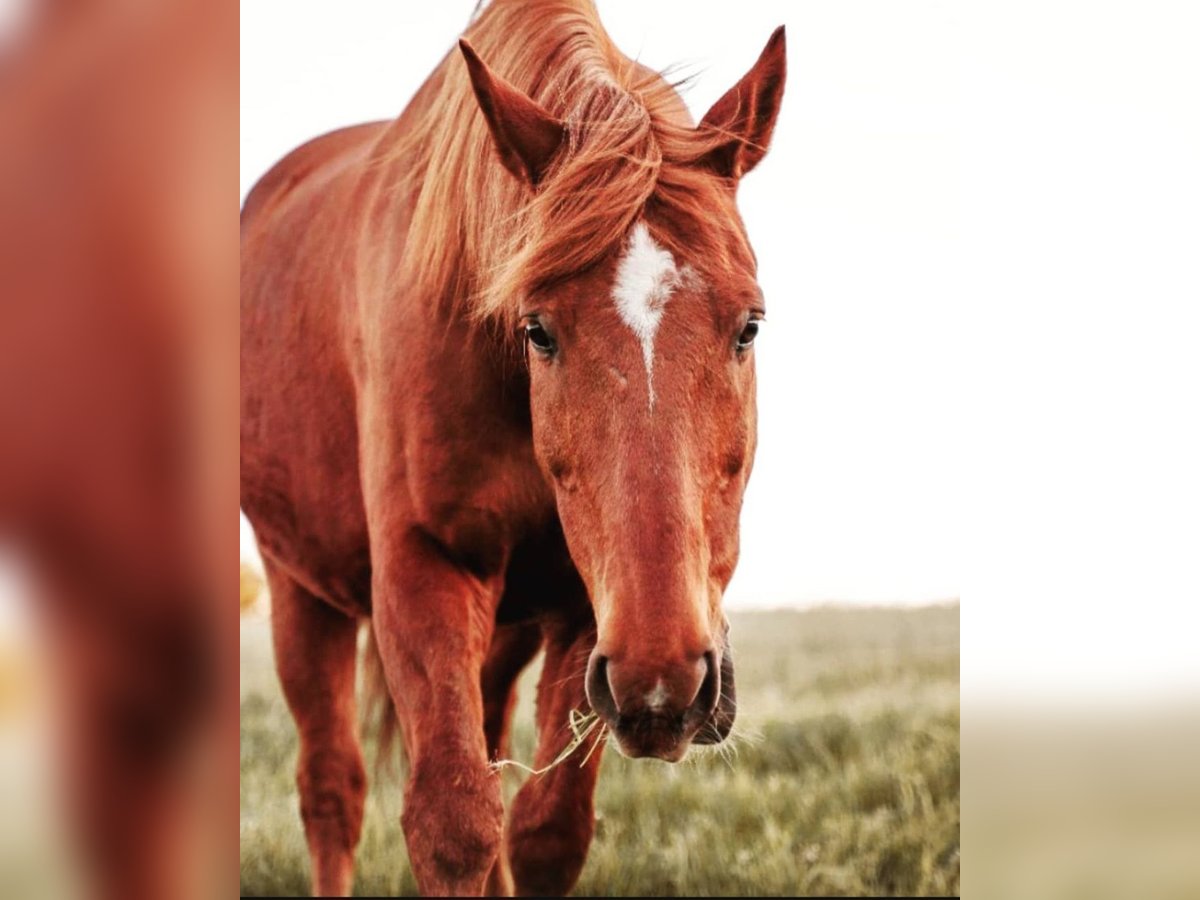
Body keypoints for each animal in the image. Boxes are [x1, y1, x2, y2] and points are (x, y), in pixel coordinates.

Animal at [242, 1, 787, 897]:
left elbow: (543, 833)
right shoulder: (425, 570)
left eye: (749, 326)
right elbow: (454, 824)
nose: (666, 679)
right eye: (537, 329)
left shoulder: (585, 606)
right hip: (301, 592)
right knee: (332, 792)